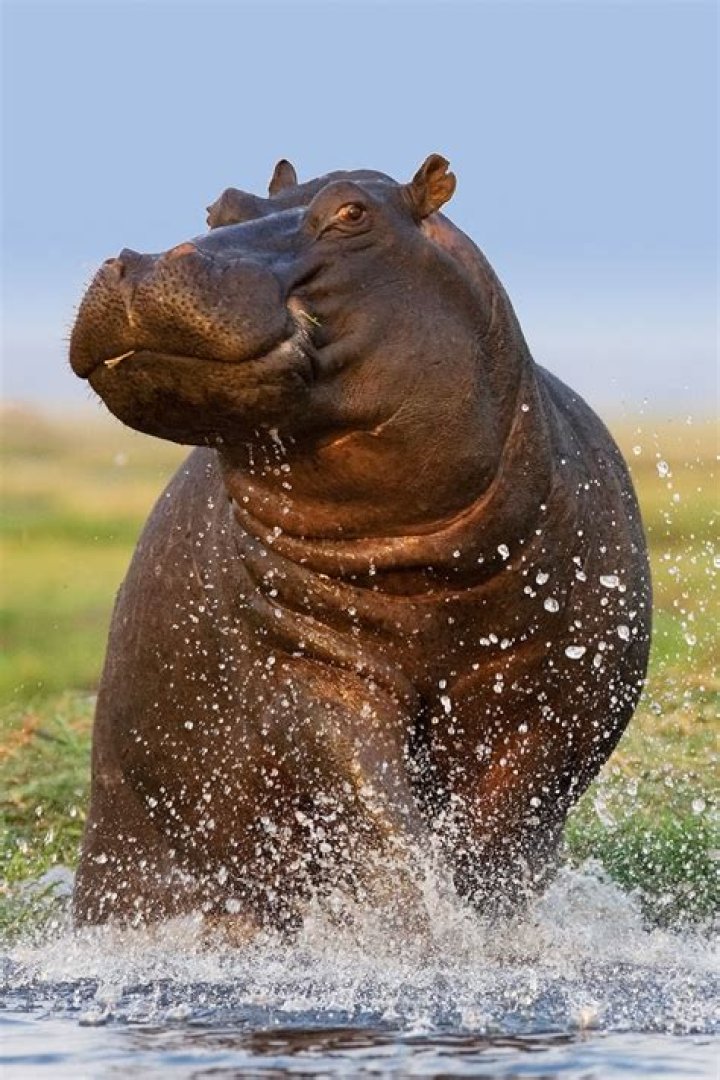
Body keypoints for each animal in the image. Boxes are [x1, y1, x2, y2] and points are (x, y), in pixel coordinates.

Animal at [69, 155, 651, 930]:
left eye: (353, 212)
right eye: (217, 207)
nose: (142, 263)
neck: (429, 572)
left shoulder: (556, 692)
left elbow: (504, 833)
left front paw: (490, 932)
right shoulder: (308, 672)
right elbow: (380, 818)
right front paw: (426, 931)